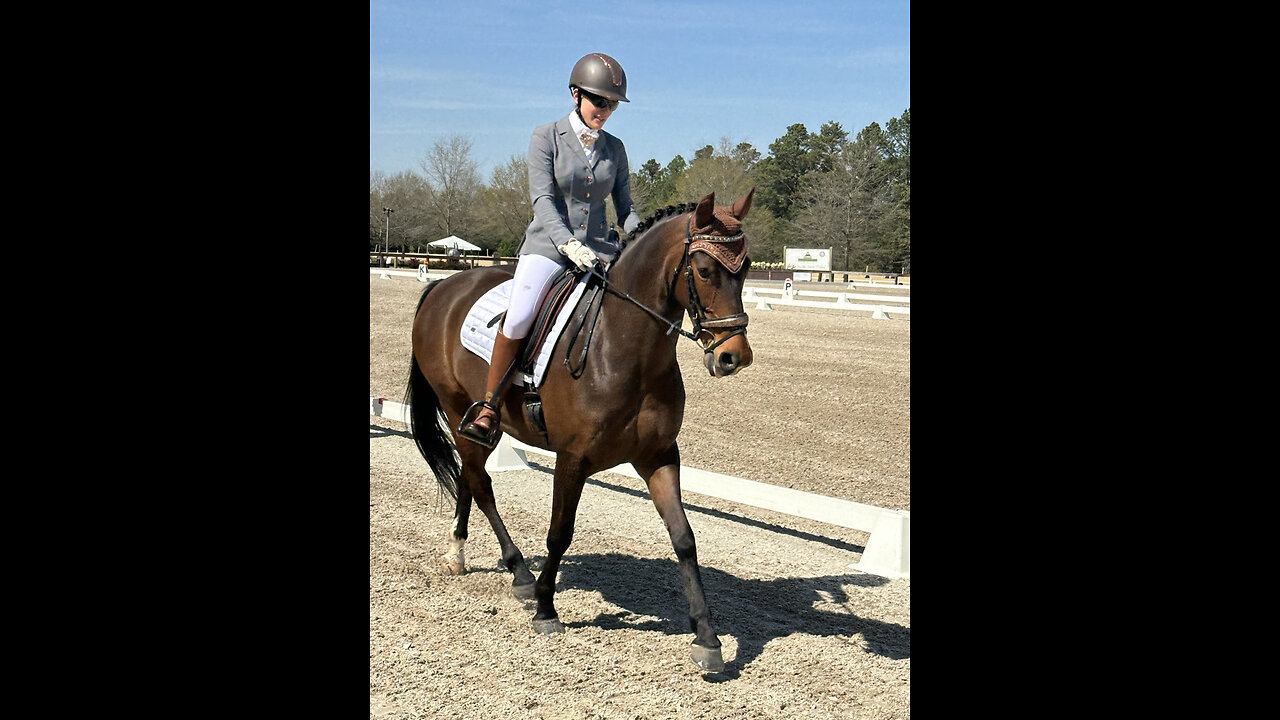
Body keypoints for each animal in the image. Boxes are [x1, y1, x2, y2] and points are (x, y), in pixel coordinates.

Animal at [404, 188, 752, 671]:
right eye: (704, 270)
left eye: (748, 267)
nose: (733, 357)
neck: (624, 346)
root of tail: (444, 285)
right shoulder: (572, 459)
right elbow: (559, 533)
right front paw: (546, 609)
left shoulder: (660, 456)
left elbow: (684, 538)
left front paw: (707, 637)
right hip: (459, 413)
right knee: (480, 482)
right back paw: (518, 572)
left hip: (480, 426)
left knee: (469, 479)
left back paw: (460, 553)